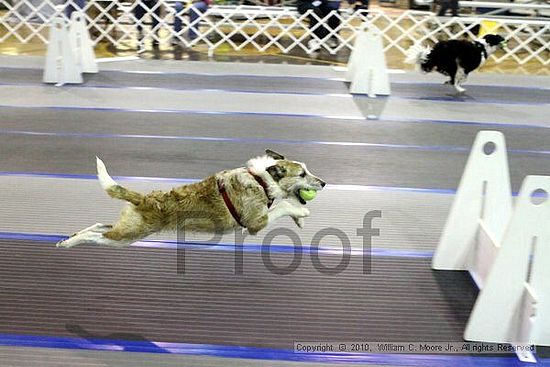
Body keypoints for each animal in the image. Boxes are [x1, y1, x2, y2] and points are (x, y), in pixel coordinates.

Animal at [56, 150, 326, 250]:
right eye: (302, 174)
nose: (323, 183)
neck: (261, 178)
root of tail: (142, 198)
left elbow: (285, 205)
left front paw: (299, 220)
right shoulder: (254, 223)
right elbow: (283, 206)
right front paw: (302, 214)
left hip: (127, 227)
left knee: (98, 226)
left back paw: (70, 236)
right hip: (127, 236)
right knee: (96, 236)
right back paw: (69, 243)